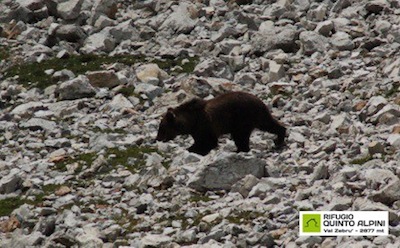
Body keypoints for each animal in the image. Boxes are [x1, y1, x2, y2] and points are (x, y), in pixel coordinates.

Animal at [155, 91, 284, 155]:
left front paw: (194, 149)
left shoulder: (204, 125)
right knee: (268, 124)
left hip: (242, 117)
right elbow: (200, 141)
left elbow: (208, 142)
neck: (190, 122)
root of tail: (259, 100)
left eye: (161, 128)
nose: (157, 138)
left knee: (242, 135)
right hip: (254, 116)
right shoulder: (197, 130)